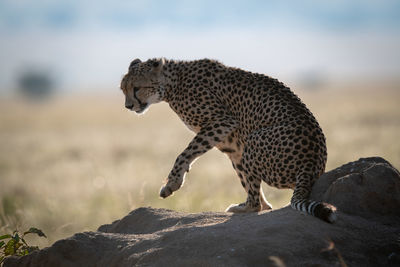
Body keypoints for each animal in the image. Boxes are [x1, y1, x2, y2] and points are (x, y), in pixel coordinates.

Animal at [120, 58, 336, 224]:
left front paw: (171, 183)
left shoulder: (223, 121)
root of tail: (312, 162)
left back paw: (242, 207)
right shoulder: (230, 142)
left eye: (137, 88)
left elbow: (185, 153)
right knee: (255, 194)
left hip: (254, 139)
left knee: (254, 202)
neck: (173, 83)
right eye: (123, 89)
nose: (128, 106)